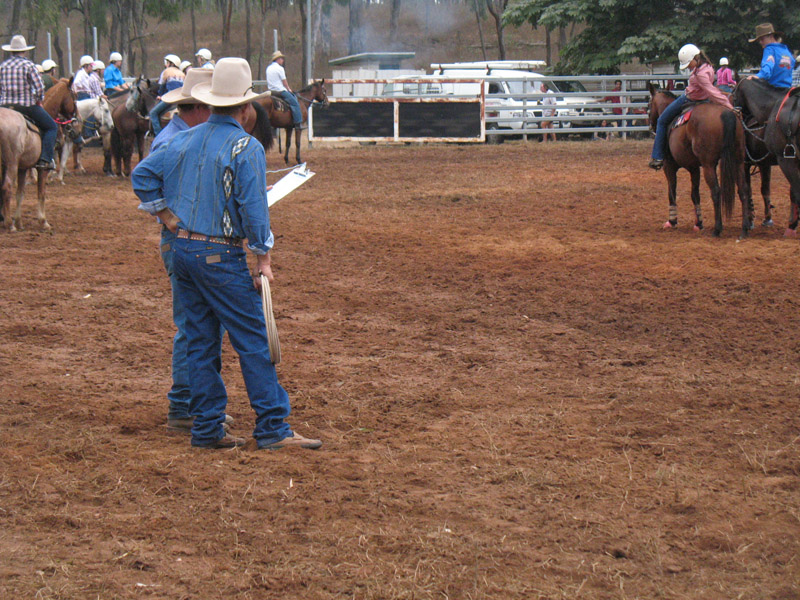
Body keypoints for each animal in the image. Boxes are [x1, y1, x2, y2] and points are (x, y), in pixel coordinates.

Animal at [648, 84, 752, 239]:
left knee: (716, 191)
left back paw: (717, 229)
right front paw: (698, 223)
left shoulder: (669, 166)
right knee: (743, 189)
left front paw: (672, 221)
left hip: (708, 165)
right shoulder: (694, 168)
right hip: (738, 161)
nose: (651, 126)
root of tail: (726, 113)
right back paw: (744, 229)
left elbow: (672, 191)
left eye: (649, 105)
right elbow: (695, 194)